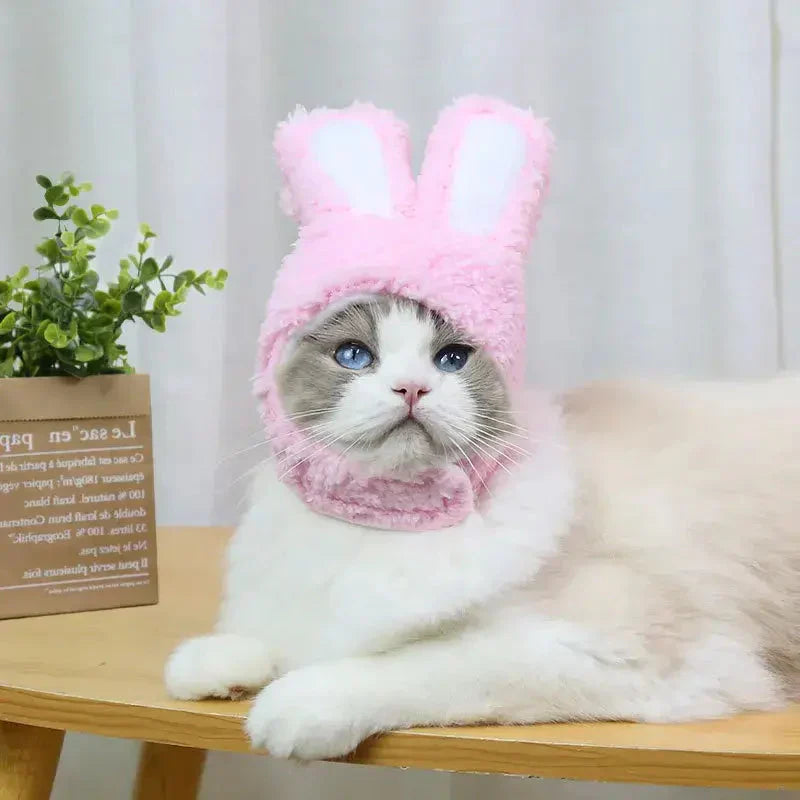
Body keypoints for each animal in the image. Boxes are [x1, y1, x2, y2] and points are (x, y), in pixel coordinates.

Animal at [164, 296, 800, 760]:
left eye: (451, 359)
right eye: (353, 356)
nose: (411, 388)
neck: (385, 524)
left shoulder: (612, 651)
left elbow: (414, 665)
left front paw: (291, 706)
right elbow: (265, 642)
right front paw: (215, 668)